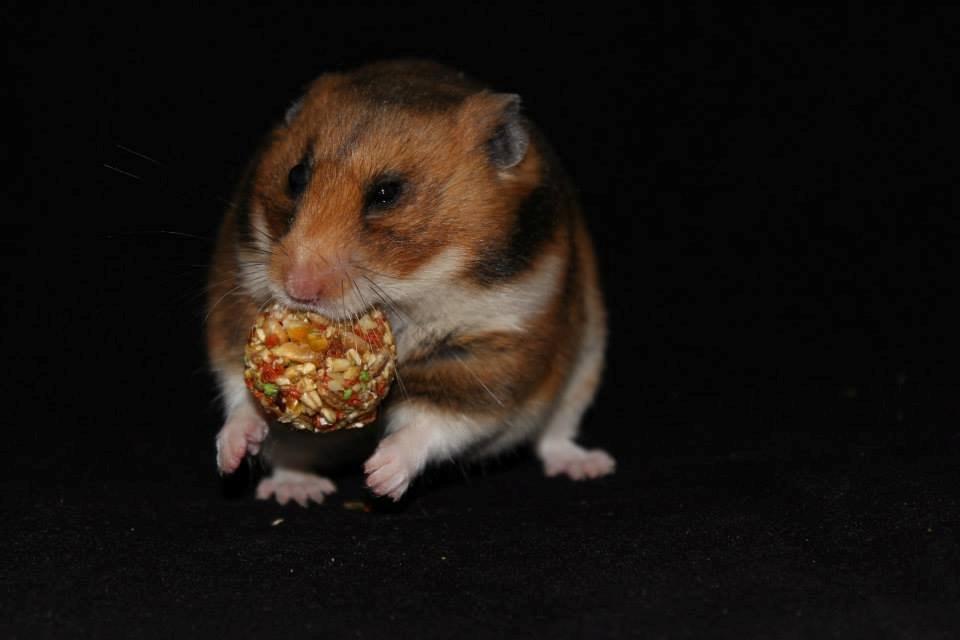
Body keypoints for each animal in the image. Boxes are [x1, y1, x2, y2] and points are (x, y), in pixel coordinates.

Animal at [206, 59, 614, 505]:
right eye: (296, 176)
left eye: (387, 193)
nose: (297, 290)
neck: (410, 289)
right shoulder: (240, 292)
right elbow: (239, 388)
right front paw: (230, 456)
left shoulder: (495, 351)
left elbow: (436, 420)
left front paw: (378, 477)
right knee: (290, 454)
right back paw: (297, 492)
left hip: (583, 371)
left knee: (555, 436)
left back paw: (590, 466)